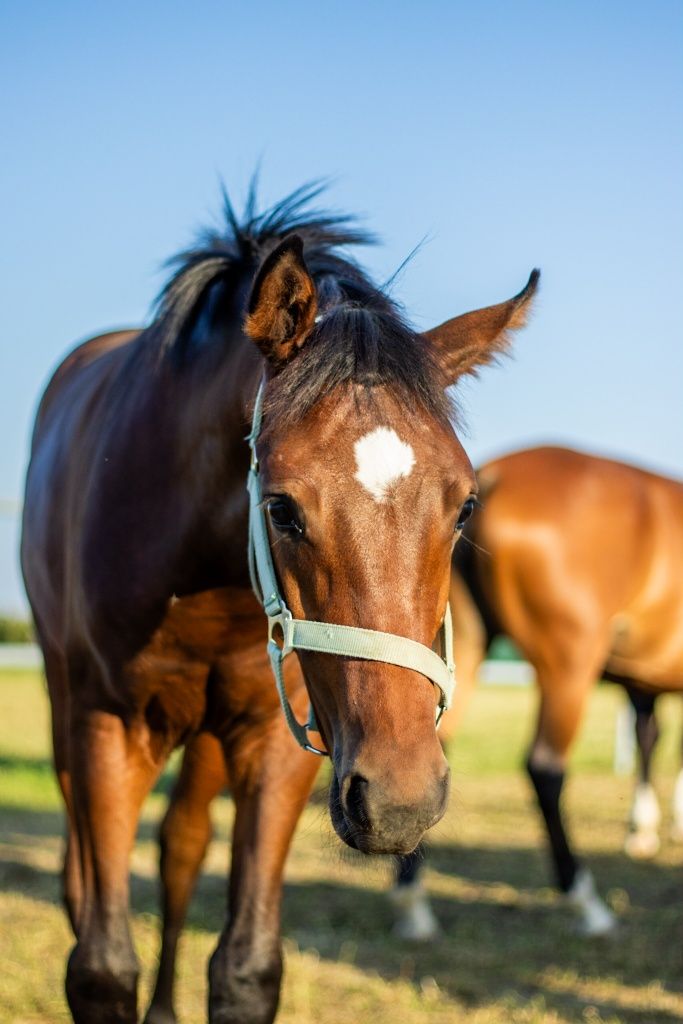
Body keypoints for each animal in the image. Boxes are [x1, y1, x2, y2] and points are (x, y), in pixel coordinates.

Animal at [20, 184, 540, 1024]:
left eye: (464, 506)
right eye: (281, 507)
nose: (400, 801)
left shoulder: (282, 740)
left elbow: (245, 966)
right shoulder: (108, 725)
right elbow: (100, 964)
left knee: (180, 846)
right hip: (68, 698)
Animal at [393, 444, 683, 937]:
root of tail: (493, 477)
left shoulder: (643, 681)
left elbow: (648, 734)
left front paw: (642, 829)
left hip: (463, 643)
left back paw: (413, 904)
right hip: (569, 667)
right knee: (545, 768)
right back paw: (585, 901)